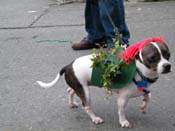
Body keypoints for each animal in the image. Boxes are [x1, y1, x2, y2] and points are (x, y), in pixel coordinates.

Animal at [36, 36, 171, 128]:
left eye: (168, 55)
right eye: (153, 58)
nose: (167, 66)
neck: (139, 70)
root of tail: (69, 65)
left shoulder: (144, 90)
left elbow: (148, 97)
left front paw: (143, 107)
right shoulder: (122, 99)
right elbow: (121, 111)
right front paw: (123, 122)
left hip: (78, 86)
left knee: (70, 90)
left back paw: (72, 103)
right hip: (85, 92)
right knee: (87, 106)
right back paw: (95, 118)